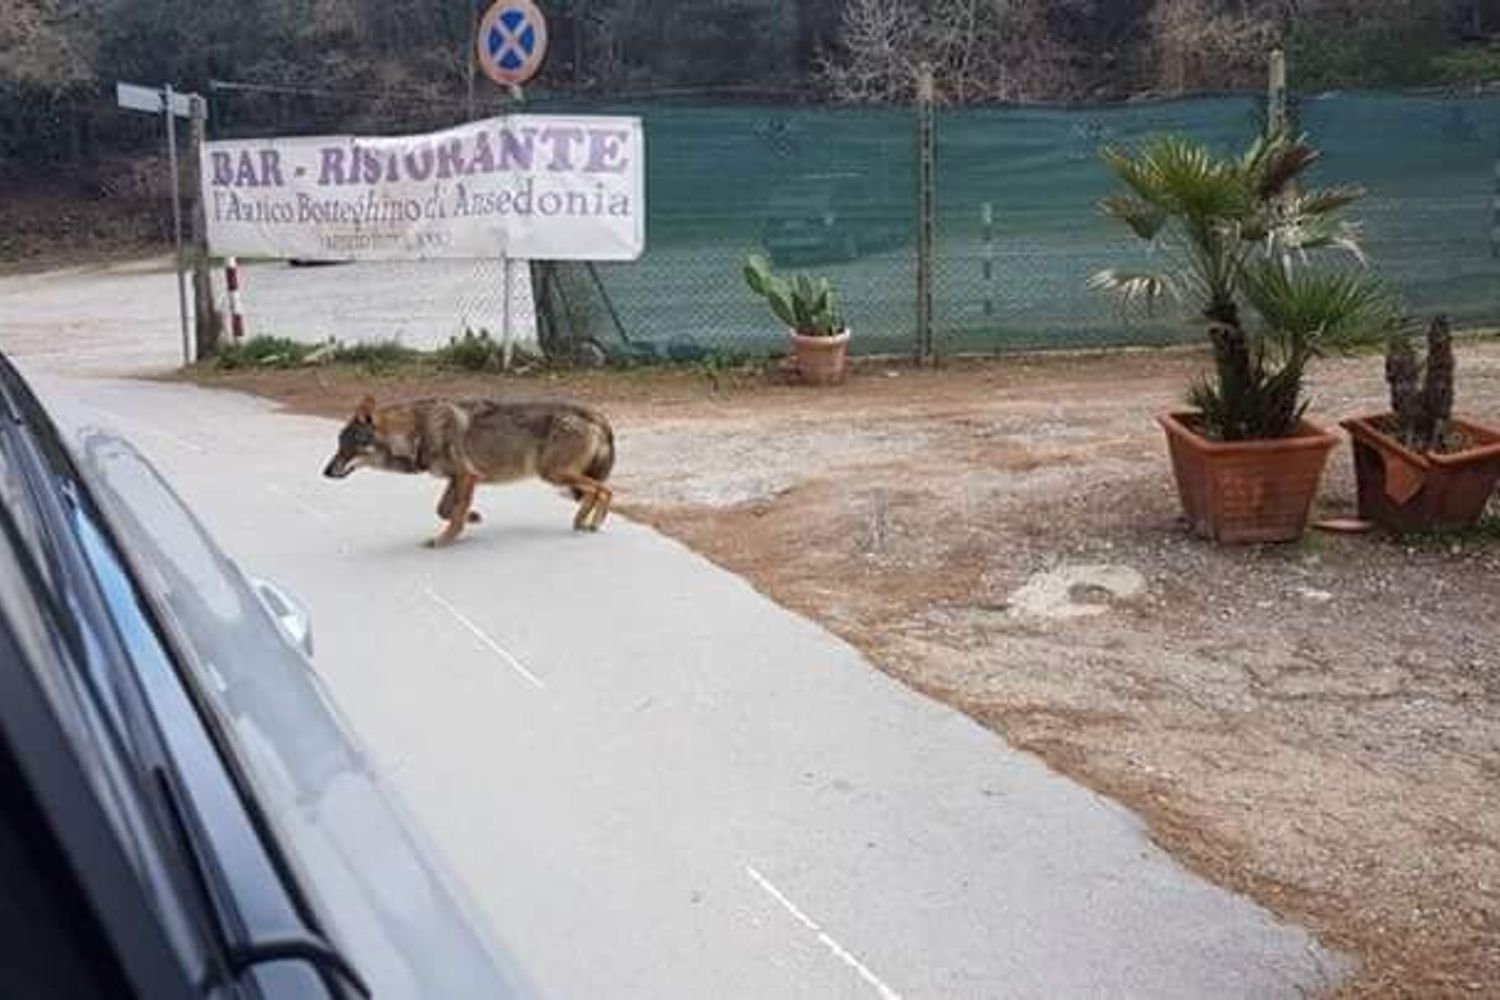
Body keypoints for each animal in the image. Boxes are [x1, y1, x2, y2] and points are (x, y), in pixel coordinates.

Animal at [322, 395, 615, 547]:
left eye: (347, 447)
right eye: (338, 445)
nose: (325, 472)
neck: (417, 431)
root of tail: (596, 413)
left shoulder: (466, 476)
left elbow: (453, 515)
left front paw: (444, 539)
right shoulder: (458, 478)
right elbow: (443, 509)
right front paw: (472, 517)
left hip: (552, 474)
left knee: (606, 489)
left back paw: (593, 521)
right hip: (557, 475)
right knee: (596, 490)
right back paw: (582, 522)